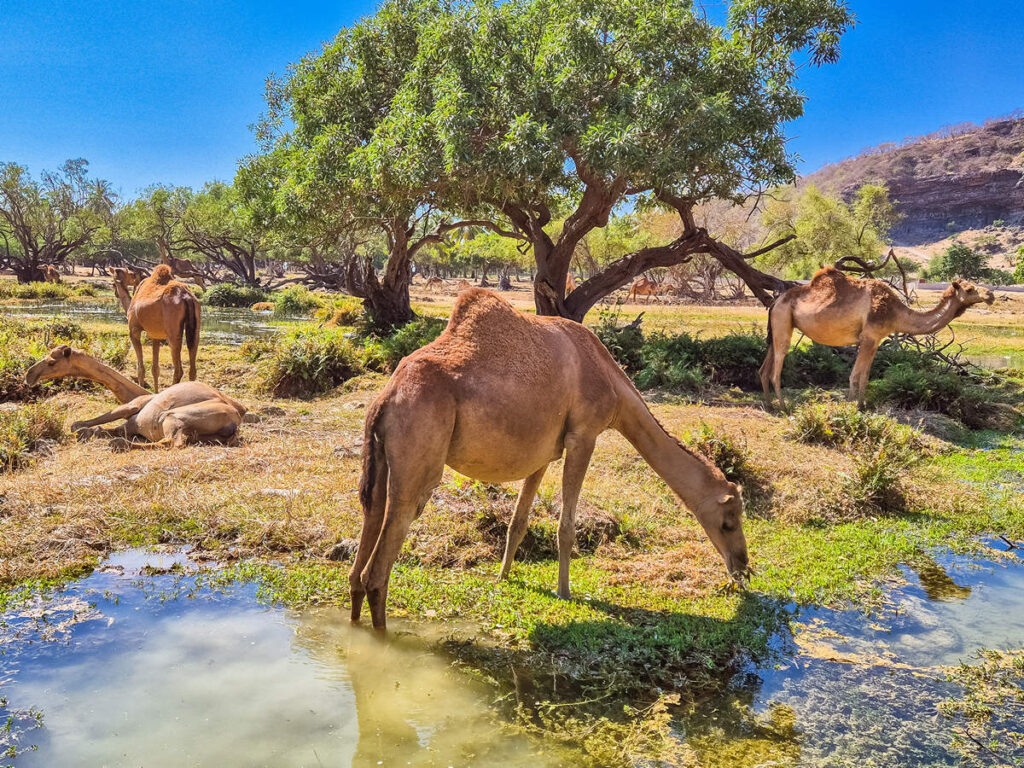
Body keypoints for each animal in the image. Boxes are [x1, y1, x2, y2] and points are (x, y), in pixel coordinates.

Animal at [24, 344, 245, 448]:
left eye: (52, 362)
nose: (29, 375)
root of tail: (234, 423)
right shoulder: (130, 425)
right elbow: (98, 429)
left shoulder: (133, 405)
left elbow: (85, 423)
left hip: (174, 416)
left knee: (173, 442)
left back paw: (119, 445)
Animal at [113, 266, 200, 397]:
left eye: (113, 281)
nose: (115, 292)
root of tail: (187, 298)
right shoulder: (156, 336)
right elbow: (155, 368)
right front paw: (155, 393)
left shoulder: (134, 330)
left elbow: (141, 368)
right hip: (196, 327)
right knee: (192, 367)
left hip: (172, 333)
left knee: (178, 370)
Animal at [348, 288, 749, 630]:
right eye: (729, 521)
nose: (743, 569)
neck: (615, 387)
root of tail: (385, 399)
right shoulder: (584, 436)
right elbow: (566, 526)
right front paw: (565, 592)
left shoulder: (541, 453)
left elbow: (518, 521)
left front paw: (503, 575)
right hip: (419, 457)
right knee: (378, 569)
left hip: (381, 458)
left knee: (364, 543)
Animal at [761, 266, 991, 409]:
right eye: (970, 289)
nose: (990, 295)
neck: (894, 312)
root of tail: (776, 301)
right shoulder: (869, 336)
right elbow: (855, 375)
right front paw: (851, 407)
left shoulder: (876, 340)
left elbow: (865, 376)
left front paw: (863, 405)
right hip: (783, 319)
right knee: (777, 366)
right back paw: (783, 407)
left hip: (778, 324)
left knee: (765, 367)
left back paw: (768, 404)